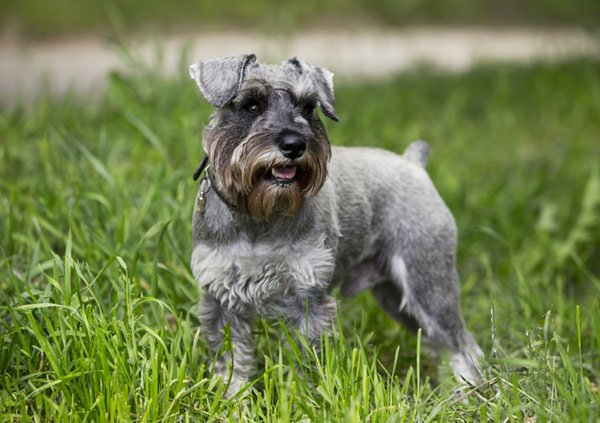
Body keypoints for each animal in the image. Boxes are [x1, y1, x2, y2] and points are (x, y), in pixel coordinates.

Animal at [189, 53, 482, 398]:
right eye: (251, 105)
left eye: (308, 108)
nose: (294, 144)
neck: (258, 216)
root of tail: (413, 164)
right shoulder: (221, 301)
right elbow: (231, 364)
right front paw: (231, 400)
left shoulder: (310, 302)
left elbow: (308, 364)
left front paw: (306, 399)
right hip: (396, 297)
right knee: (441, 344)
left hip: (428, 283)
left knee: (462, 344)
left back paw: (469, 394)